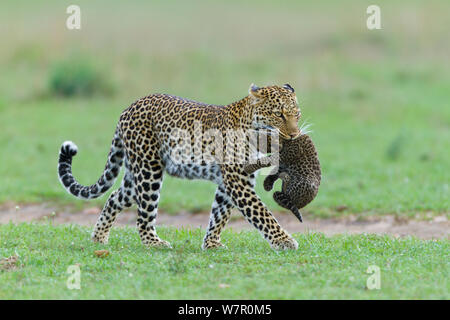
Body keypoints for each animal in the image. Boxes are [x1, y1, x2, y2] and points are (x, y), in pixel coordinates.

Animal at [56, 84, 302, 251]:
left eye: (297, 114)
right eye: (279, 114)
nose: (295, 134)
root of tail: (128, 108)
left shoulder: (232, 181)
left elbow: (219, 213)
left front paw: (211, 244)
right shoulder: (237, 181)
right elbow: (261, 213)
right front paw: (284, 241)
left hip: (134, 173)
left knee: (115, 196)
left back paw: (99, 237)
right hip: (149, 170)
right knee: (143, 215)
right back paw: (154, 242)